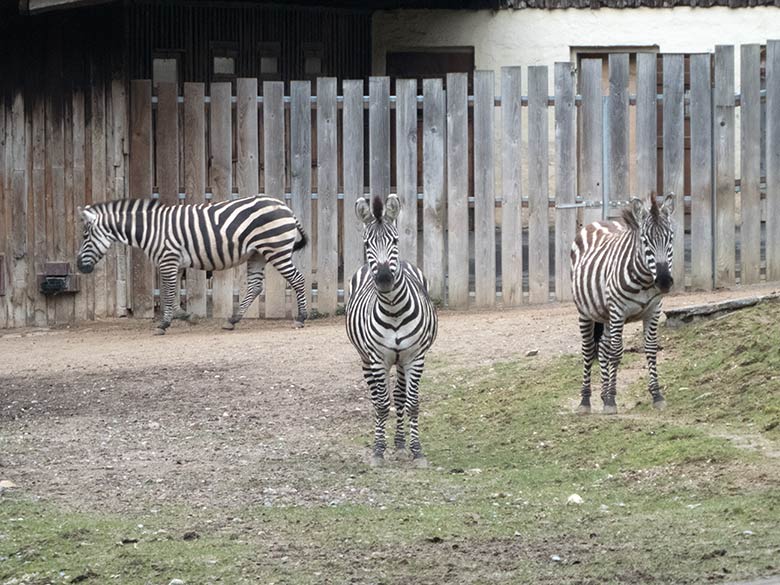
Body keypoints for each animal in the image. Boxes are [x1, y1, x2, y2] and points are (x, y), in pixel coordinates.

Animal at [76, 195, 308, 334]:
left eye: (85, 236)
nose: (79, 266)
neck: (151, 230)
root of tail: (285, 206)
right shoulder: (176, 264)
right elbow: (173, 295)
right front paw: (187, 316)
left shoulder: (168, 260)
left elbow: (169, 293)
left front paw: (164, 324)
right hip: (257, 254)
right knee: (255, 286)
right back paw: (232, 320)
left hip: (275, 249)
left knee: (297, 279)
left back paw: (302, 318)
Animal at [348, 194, 438, 468]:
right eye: (367, 243)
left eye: (396, 240)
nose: (386, 279)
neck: (394, 309)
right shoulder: (378, 359)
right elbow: (381, 404)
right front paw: (378, 450)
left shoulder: (415, 357)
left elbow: (412, 403)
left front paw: (417, 451)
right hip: (365, 359)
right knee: (377, 398)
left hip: (401, 361)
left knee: (399, 396)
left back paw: (399, 444)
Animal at [568, 196, 672, 416]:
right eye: (645, 241)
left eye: (670, 238)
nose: (664, 282)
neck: (644, 281)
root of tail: (597, 221)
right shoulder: (618, 311)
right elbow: (616, 352)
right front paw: (610, 401)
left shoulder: (653, 311)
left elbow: (651, 349)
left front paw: (657, 396)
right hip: (585, 311)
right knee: (589, 350)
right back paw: (585, 401)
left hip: (606, 315)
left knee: (603, 347)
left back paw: (603, 392)